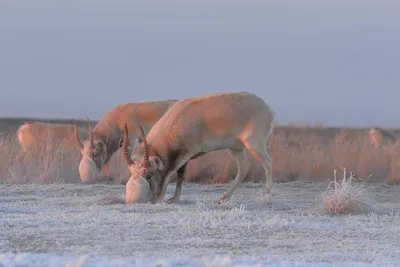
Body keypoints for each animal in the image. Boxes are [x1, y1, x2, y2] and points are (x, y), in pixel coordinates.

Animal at [122, 92, 276, 205]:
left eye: (149, 175)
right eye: (131, 173)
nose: (133, 200)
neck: (177, 119)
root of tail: (268, 109)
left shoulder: (187, 152)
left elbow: (170, 172)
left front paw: (160, 199)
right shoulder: (184, 157)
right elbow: (181, 175)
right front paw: (174, 198)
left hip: (254, 144)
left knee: (268, 163)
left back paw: (268, 196)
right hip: (236, 148)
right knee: (244, 167)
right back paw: (224, 198)